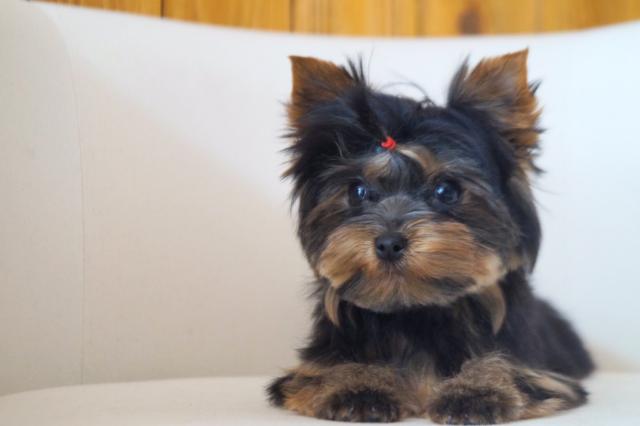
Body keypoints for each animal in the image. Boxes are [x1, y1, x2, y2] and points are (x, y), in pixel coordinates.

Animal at [267, 50, 594, 424]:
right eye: (358, 191)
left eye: (446, 191)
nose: (389, 243)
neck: (415, 307)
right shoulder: (313, 367)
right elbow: (329, 370)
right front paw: (357, 384)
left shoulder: (541, 373)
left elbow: (509, 367)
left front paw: (478, 389)